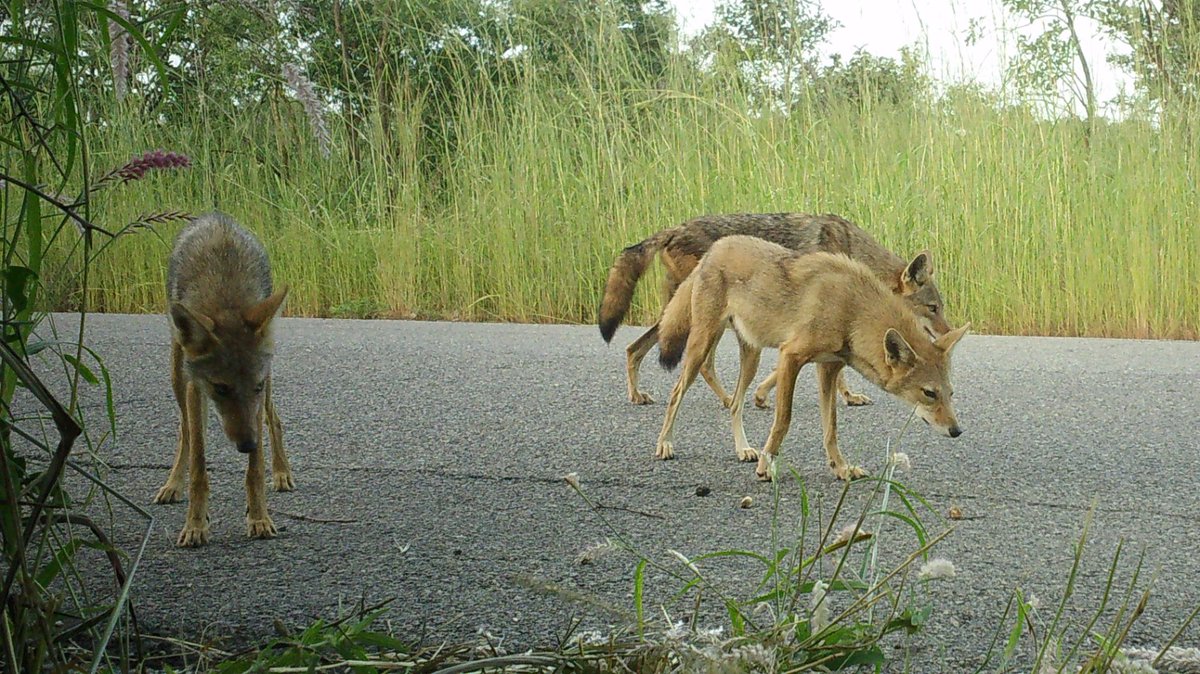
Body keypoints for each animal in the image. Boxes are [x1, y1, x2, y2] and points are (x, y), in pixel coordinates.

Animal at [152, 212, 293, 547]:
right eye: (221, 388)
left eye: (254, 387)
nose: (247, 444)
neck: (225, 297)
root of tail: (214, 215)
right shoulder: (196, 387)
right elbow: (198, 467)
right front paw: (195, 525)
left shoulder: (261, 388)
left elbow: (255, 470)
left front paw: (259, 518)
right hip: (178, 375)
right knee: (184, 431)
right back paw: (172, 484)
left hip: (269, 382)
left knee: (274, 420)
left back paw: (282, 473)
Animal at [598, 213, 951, 408]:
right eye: (932, 308)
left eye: (941, 308)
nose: (949, 333)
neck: (853, 253)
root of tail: (674, 228)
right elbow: (833, 372)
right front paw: (847, 396)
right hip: (706, 318)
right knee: (693, 362)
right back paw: (727, 400)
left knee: (635, 348)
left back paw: (641, 394)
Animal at [654, 236, 968, 482]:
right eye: (929, 393)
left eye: (951, 393)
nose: (957, 431)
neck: (851, 311)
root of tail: (714, 248)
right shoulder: (790, 357)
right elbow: (784, 419)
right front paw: (766, 466)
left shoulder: (828, 368)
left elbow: (831, 428)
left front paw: (841, 468)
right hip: (700, 349)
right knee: (676, 393)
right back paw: (665, 444)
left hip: (752, 358)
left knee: (734, 404)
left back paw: (743, 449)